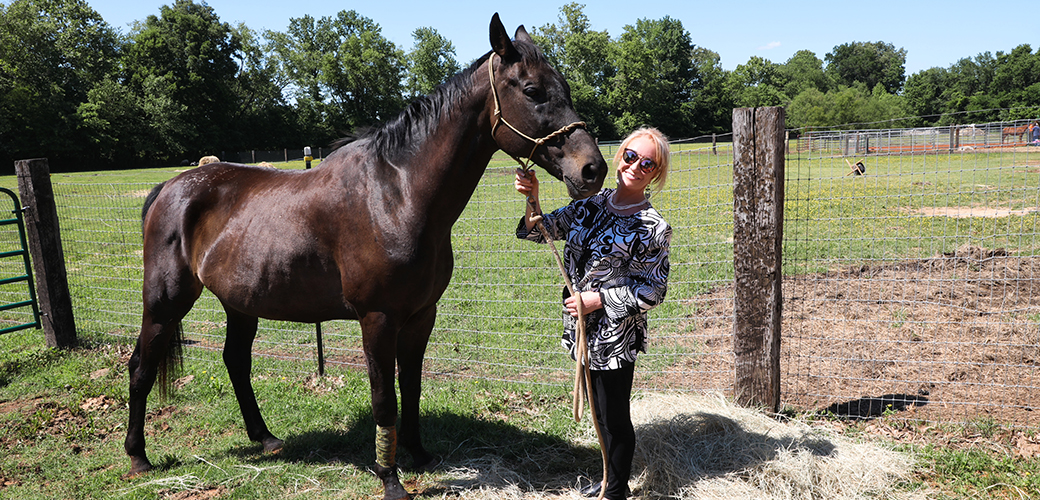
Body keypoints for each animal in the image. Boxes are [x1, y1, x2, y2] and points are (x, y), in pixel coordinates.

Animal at [124, 12, 607, 498]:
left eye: (563, 86)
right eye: (531, 90)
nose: (593, 169)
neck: (396, 196)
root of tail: (169, 187)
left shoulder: (421, 316)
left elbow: (411, 387)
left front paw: (419, 455)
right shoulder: (377, 319)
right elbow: (384, 398)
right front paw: (390, 478)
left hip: (240, 304)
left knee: (236, 363)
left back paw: (266, 439)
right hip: (164, 303)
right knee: (141, 366)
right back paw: (138, 457)